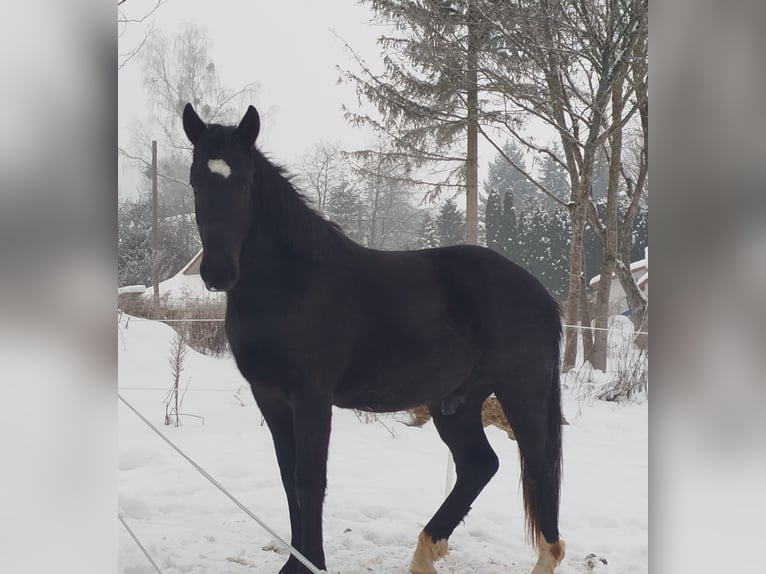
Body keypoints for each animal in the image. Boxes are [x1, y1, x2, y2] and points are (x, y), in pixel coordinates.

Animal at [182, 103, 565, 574]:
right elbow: (289, 480)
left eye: (245, 181)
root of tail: (541, 296)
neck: (292, 284)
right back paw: (425, 551)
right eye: (195, 180)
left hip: (521, 394)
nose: (217, 272)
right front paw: (295, 564)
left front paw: (313, 564)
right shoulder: (270, 398)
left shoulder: (312, 397)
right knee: (479, 465)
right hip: (455, 402)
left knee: (538, 468)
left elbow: (309, 482)